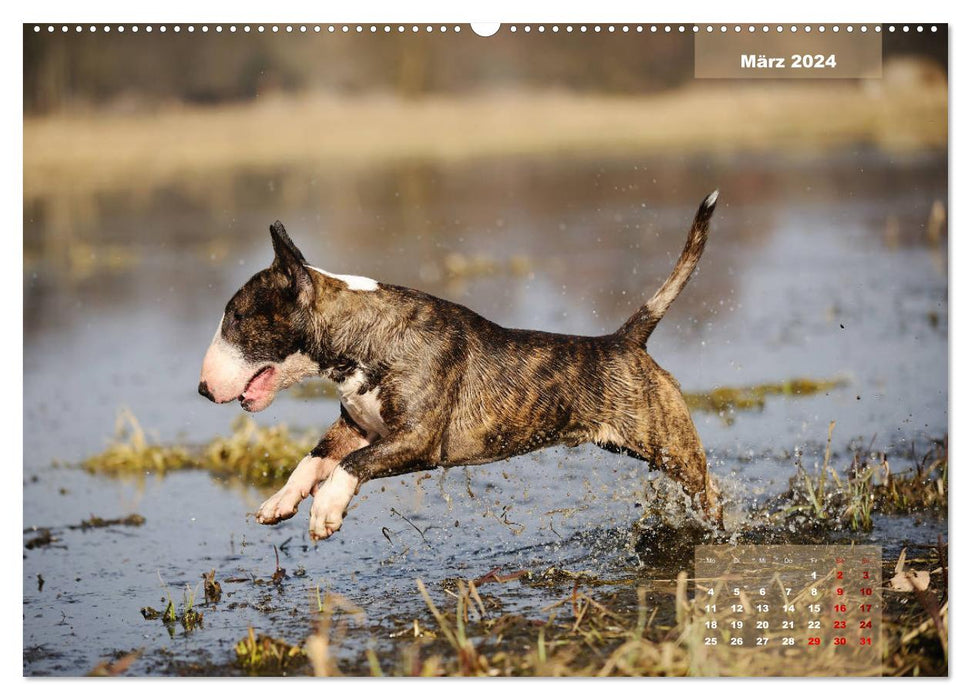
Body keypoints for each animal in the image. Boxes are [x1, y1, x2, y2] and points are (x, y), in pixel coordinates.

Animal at [199, 191, 720, 540]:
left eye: (237, 317)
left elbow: (351, 464)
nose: (203, 390)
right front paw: (280, 501)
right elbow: (316, 458)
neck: (366, 336)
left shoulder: (418, 441)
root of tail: (625, 340)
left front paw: (325, 510)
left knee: (707, 488)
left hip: (672, 448)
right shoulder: (358, 427)